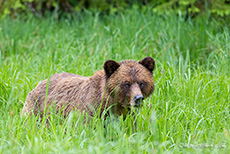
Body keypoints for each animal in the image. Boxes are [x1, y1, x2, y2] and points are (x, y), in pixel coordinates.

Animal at [21, 57, 155, 118]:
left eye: (142, 82)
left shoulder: (126, 114)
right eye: (126, 83)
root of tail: (39, 82)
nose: (138, 98)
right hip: (37, 109)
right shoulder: (91, 108)